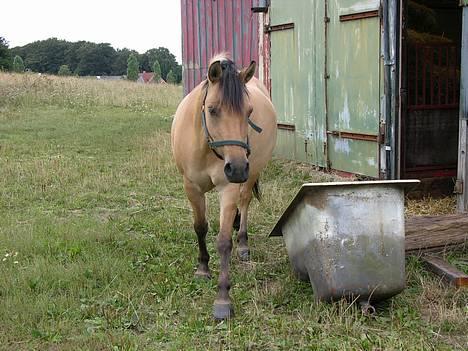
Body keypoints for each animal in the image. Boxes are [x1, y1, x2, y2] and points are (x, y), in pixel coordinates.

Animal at [170, 53, 276, 320]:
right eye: (212, 109)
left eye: (249, 111)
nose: (236, 168)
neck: (206, 146)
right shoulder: (191, 187)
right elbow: (200, 228)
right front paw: (202, 268)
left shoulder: (228, 188)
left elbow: (224, 241)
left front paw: (223, 298)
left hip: (251, 174)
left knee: (245, 202)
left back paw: (244, 243)